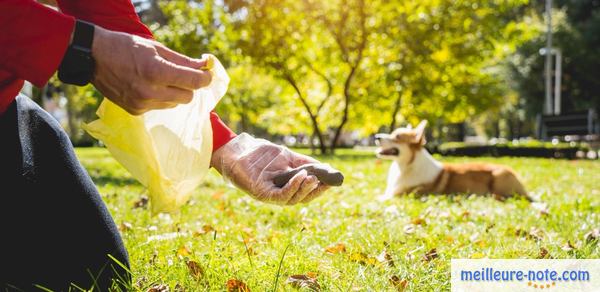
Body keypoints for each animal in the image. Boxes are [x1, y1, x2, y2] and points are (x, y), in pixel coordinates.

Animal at [376, 120, 528, 201]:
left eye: (397, 137)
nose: (377, 136)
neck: (405, 166)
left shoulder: (403, 195)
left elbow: (378, 199)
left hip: (499, 176)